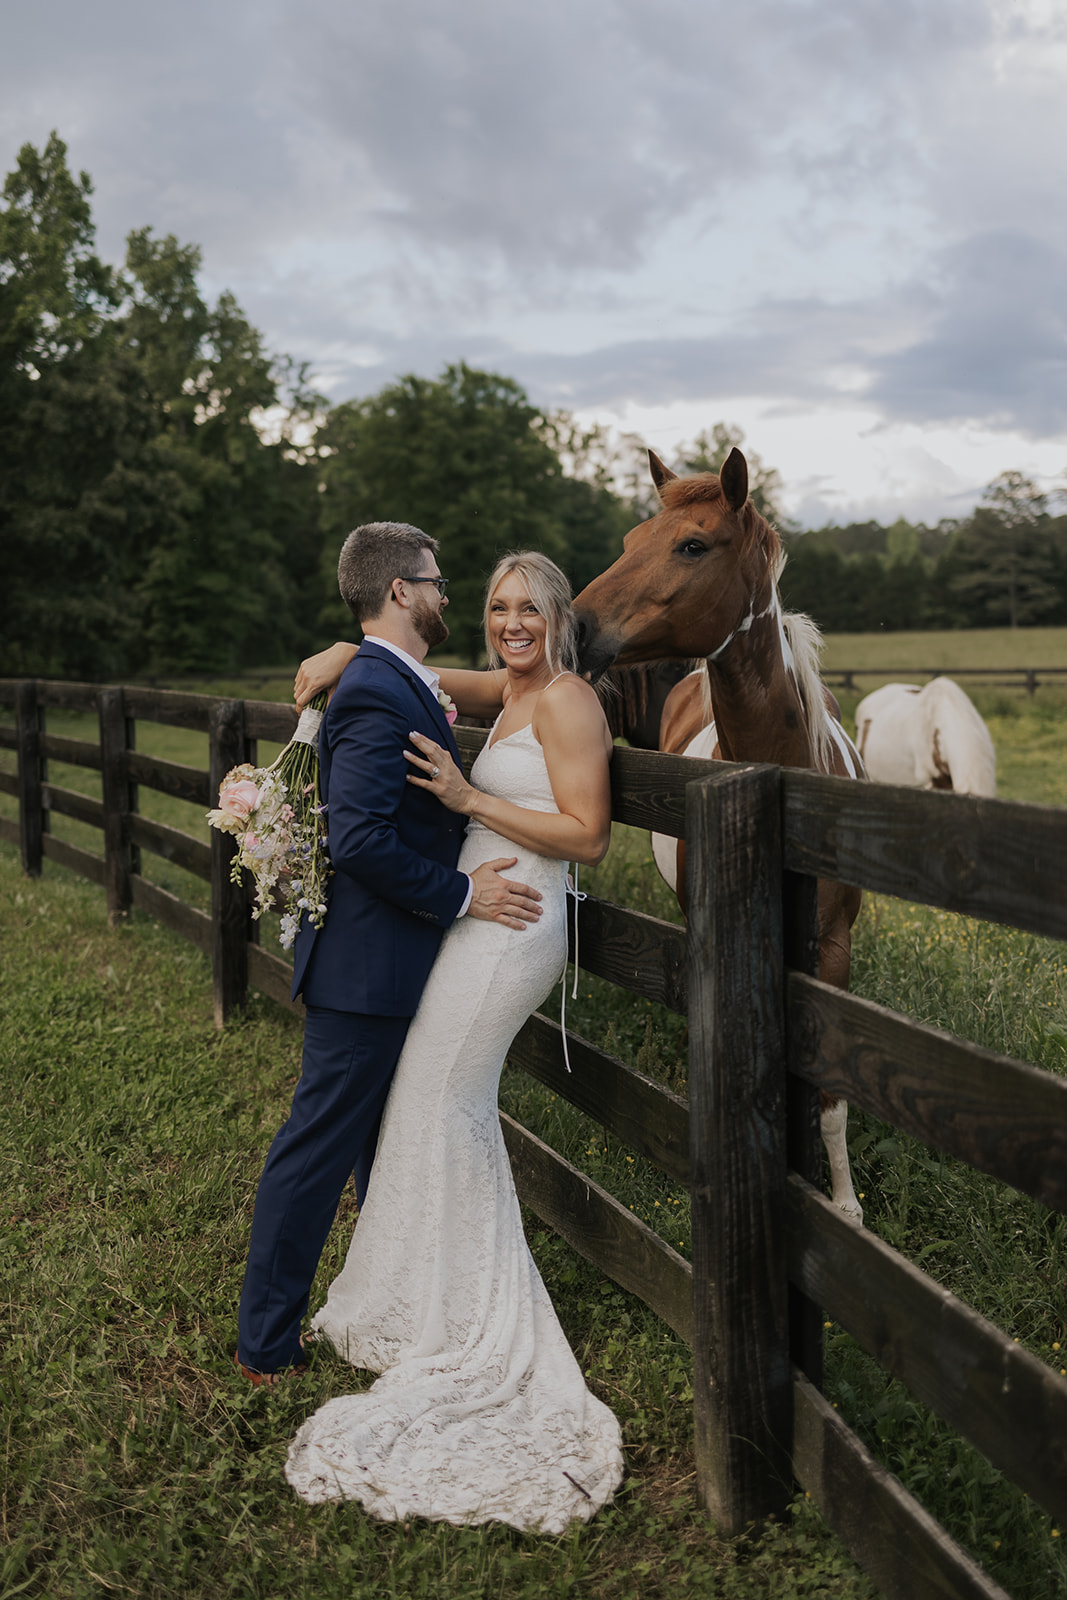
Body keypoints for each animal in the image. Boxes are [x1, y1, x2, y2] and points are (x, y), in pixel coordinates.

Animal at [575, 444, 870, 1216]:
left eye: (691, 545)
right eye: (629, 542)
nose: (574, 627)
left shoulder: (833, 949)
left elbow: (831, 1096)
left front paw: (844, 1205)